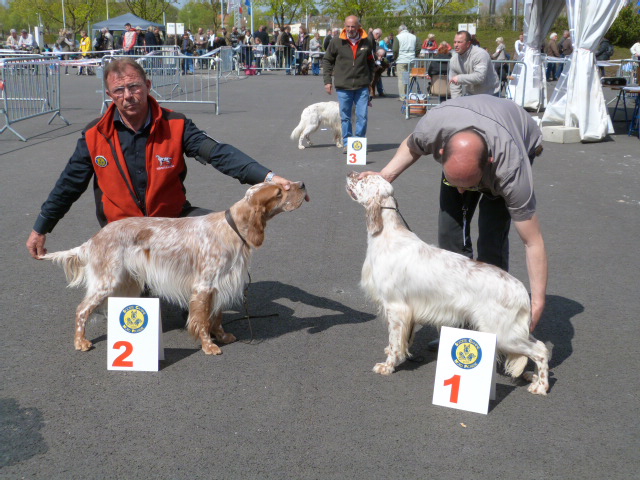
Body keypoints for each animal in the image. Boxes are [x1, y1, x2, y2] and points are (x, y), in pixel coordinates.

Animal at [42, 182, 307, 355]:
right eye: (280, 192)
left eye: (281, 185)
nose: (302, 184)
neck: (230, 228)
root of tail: (93, 240)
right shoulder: (203, 286)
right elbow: (201, 320)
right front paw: (209, 346)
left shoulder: (219, 285)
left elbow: (216, 317)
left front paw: (222, 337)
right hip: (107, 281)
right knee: (82, 310)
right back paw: (81, 342)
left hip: (126, 282)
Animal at [345, 173, 550, 395]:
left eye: (363, 180)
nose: (350, 174)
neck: (387, 234)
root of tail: (521, 291)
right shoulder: (408, 310)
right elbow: (402, 340)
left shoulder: (396, 307)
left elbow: (394, 341)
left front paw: (387, 365)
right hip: (513, 330)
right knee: (541, 345)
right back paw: (533, 377)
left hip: (503, 333)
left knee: (540, 351)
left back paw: (541, 386)